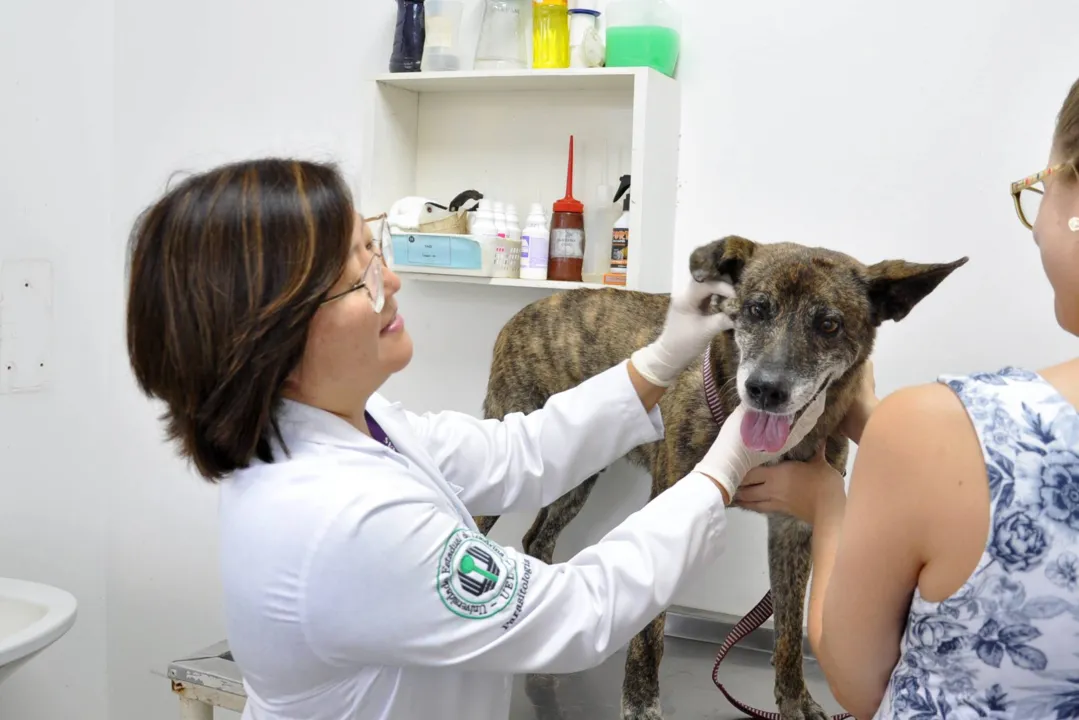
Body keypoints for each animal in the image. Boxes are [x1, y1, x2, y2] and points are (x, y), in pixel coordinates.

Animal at [476, 237, 966, 720]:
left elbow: (790, 628)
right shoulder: (669, 498)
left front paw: (795, 701)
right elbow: (650, 628)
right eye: (756, 309)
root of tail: (525, 311)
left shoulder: (794, 530)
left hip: (580, 474)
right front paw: (640, 700)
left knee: (538, 537)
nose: (765, 389)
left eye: (829, 324)